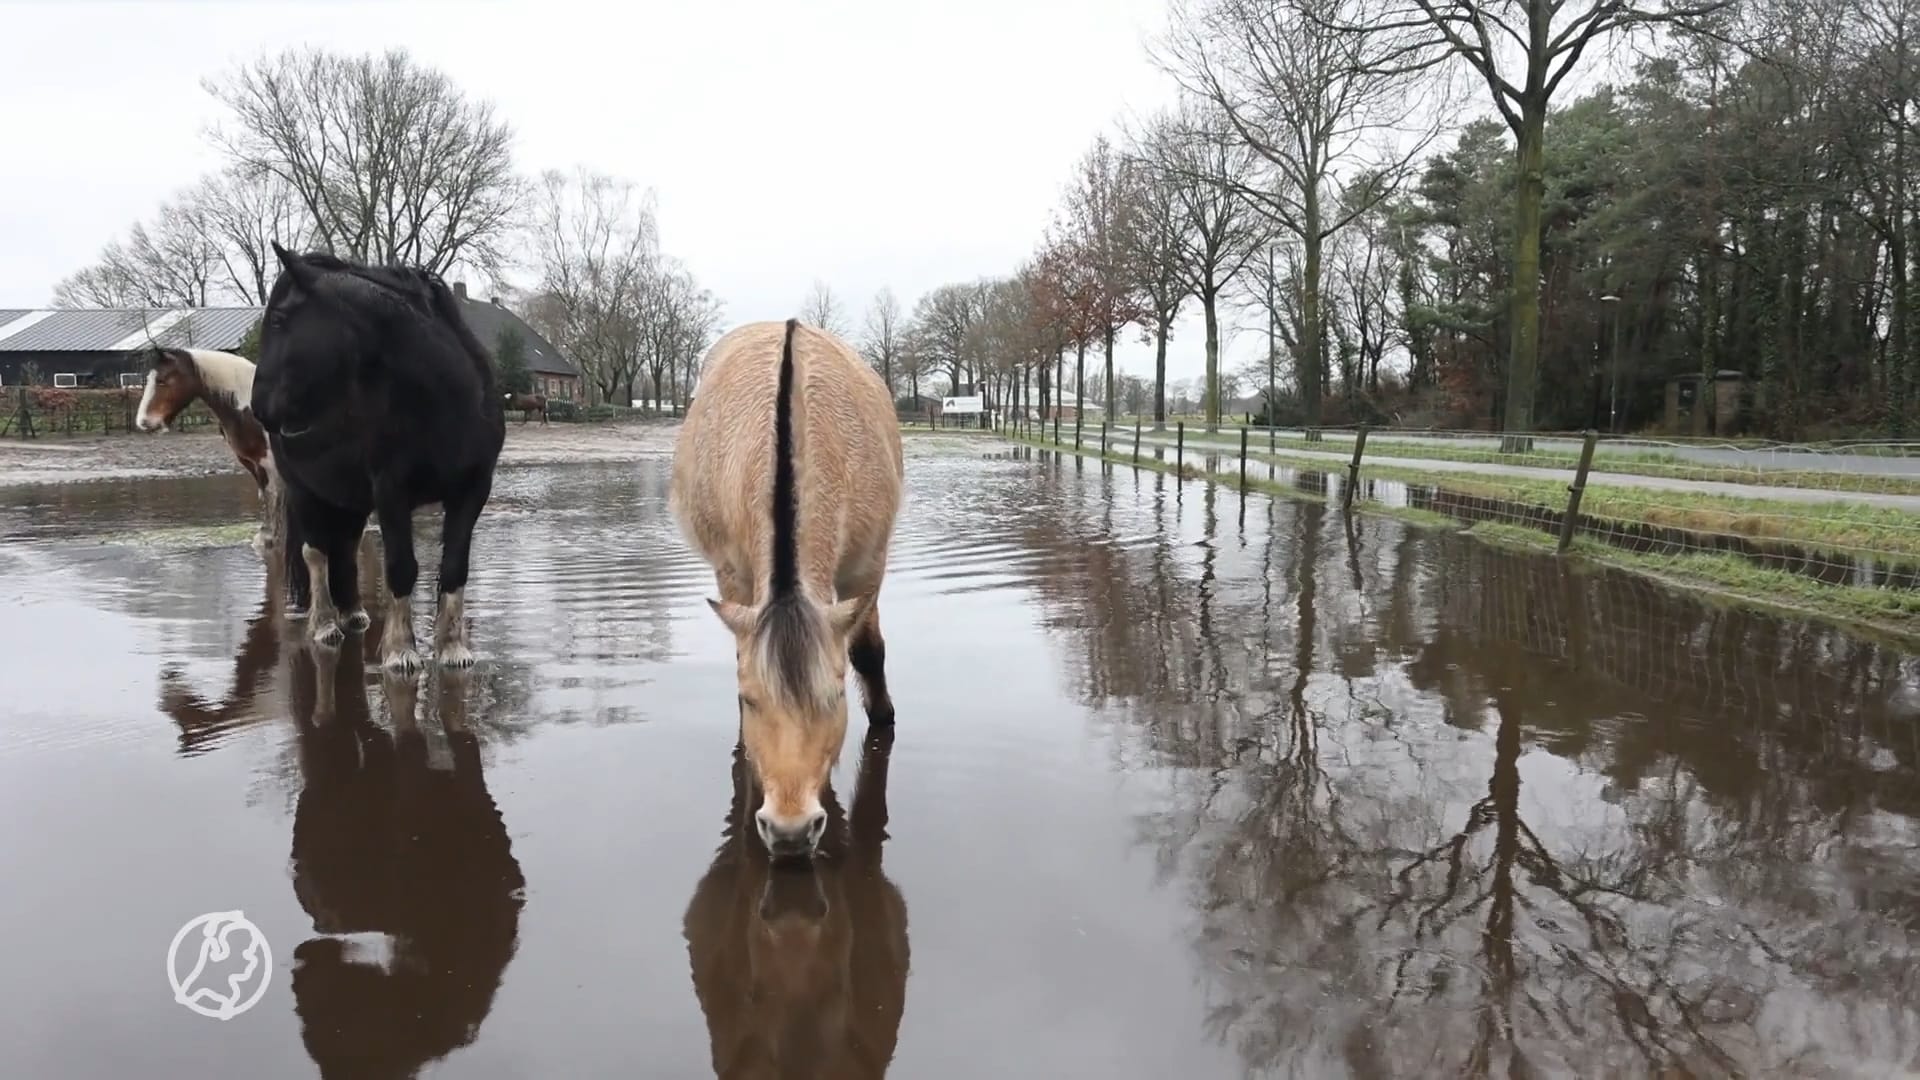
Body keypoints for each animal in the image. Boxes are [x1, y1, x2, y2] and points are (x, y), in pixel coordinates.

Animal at [133, 345, 282, 553]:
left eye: (161, 380)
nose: (144, 422)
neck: (248, 409)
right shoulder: (253, 463)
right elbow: (265, 495)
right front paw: (266, 536)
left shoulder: (270, 462)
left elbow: (273, 497)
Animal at [255, 239, 510, 668]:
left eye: (278, 318)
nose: (259, 406)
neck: (444, 398)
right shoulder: (391, 489)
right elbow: (402, 567)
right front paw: (400, 649)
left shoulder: (473, 488)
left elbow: (455, 567)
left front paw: (452, 646)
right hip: (305, 490)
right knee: (316, 553)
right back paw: (325, 624)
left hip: (350, 499)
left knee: (343, 550)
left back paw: (353, 614)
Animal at [672, 317, 910, 857]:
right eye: (751, 699)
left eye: (836, 696)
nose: (790, 831)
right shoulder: (733, 576)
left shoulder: (867, 572)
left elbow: (868, 653)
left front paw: (883, 716)